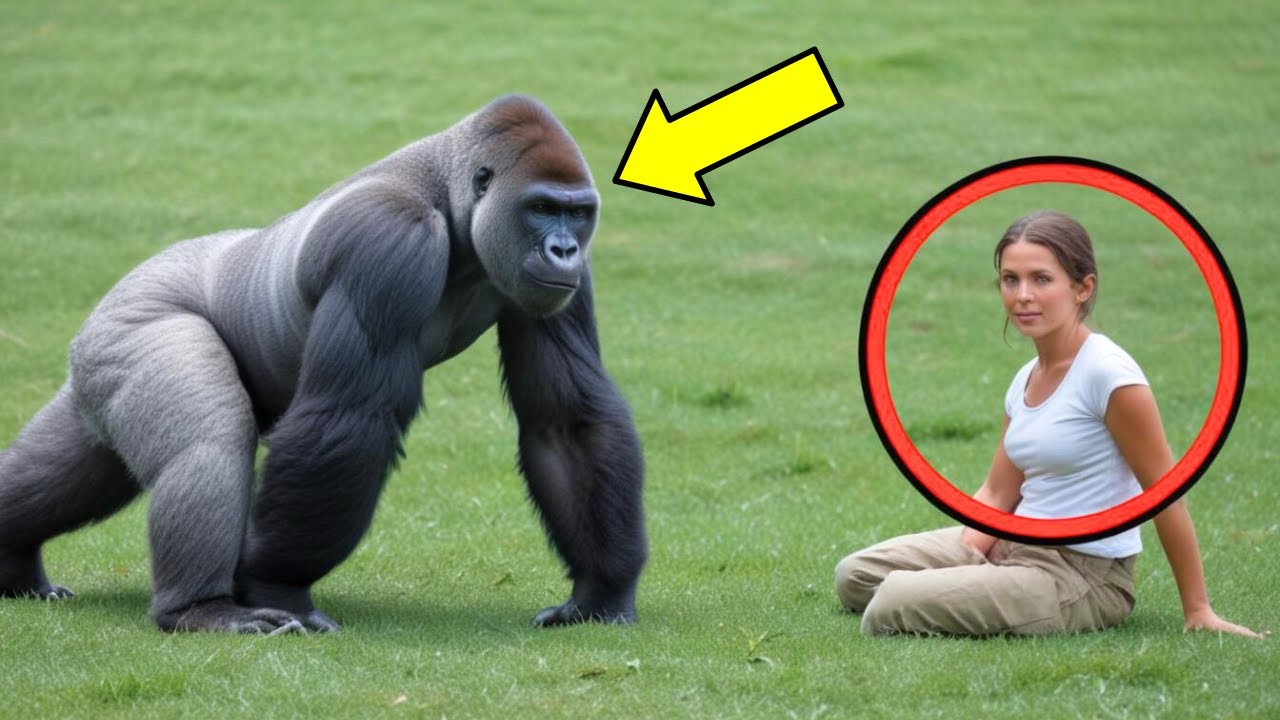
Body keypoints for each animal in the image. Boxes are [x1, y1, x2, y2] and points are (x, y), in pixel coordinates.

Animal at [0, 95, 647, 633]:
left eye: (577, 213)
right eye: (541, 208)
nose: (563, 249)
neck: (452, 200)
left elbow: (564, 420)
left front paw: (600, 593)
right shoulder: (387, 239)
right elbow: (350, 415)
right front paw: (276, 585)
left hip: (104, 359)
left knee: (80, 465)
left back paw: (15, 562)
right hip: (134, 317)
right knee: (209, 442)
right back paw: (200, 610)